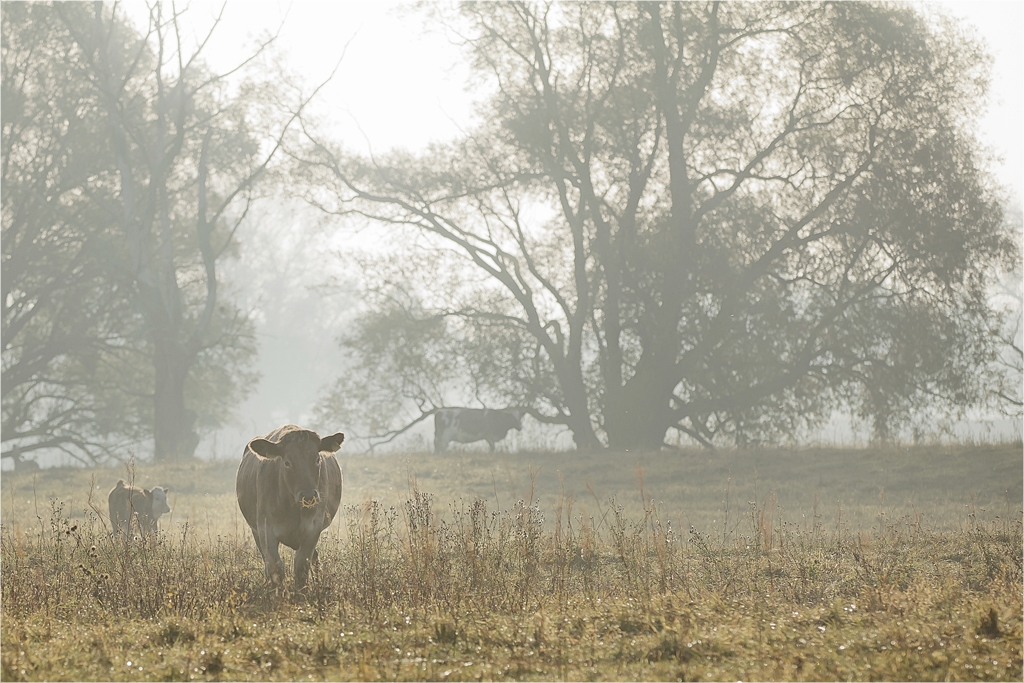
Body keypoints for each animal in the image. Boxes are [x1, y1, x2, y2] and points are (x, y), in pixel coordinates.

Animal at [234, 421, 346, 589]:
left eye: (317, 459)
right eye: (287, 462)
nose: (308, 495)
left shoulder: (313, 528)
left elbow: (301, 566)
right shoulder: (265, 528)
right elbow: (275, 567)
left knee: (314, 557)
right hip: (255, 531)